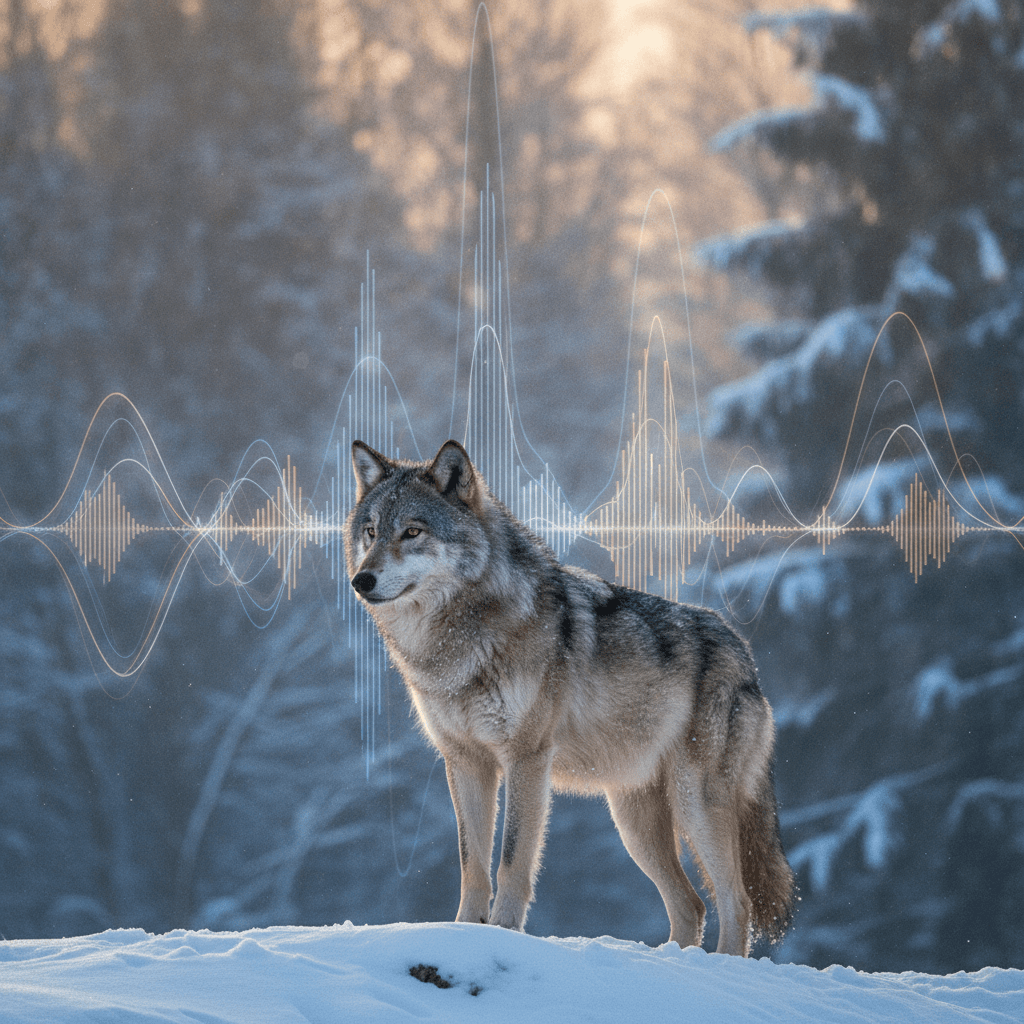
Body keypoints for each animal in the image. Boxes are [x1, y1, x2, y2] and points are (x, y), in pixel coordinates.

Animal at [345, 438, 795, 955]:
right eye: (371, 532)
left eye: (413, 532)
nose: (361, 580)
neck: (458, 641)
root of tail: (745, 654)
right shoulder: (465, 761)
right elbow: (472, 863)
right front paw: (464, 930)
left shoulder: (526, 758)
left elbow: (512, 858)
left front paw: (503, 932)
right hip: (634, 823)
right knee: (692, 905)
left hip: (694, 803)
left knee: (736, 902)